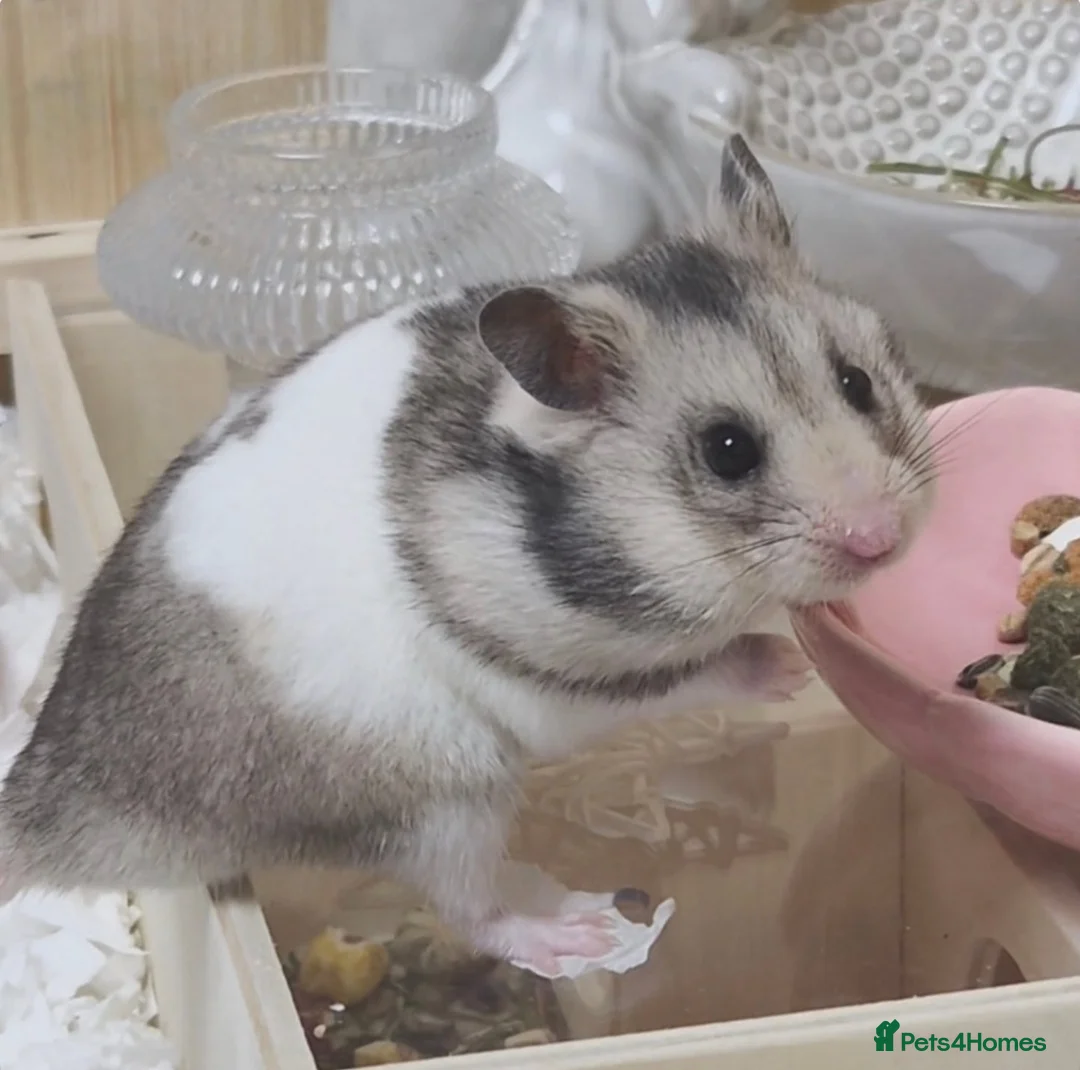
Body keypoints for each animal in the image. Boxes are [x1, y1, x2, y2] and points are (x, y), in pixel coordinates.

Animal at [0, 136, 935, 974]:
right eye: (728, 450)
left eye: (856, 381)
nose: (882, 539)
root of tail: (61, 793)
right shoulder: (557, 691)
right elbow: (696, 672)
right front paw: (787, 668)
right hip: (443, 803)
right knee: (469, 911)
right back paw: (574, 935)